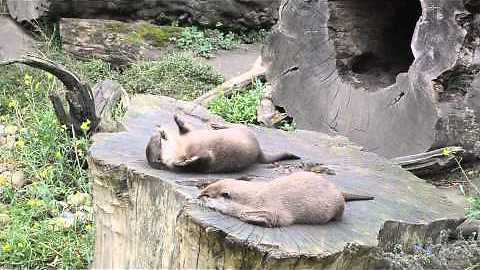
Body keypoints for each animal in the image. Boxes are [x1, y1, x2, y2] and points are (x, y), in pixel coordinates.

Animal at [144, 114, 300, 173]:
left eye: (158, 137)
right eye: (159, 141)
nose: (161, 131)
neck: (182, 146)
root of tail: (259, 151)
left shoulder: (189, 134)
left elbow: (185, 128)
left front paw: (177, 119)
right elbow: (203, 159)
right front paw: (185, 162)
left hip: (243, 130)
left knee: (236, 126)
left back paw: (217, 125)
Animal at [197, 172, 374, 227]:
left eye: (207, 195)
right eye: (204, 190)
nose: (198, 196)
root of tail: (338, 190)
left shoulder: (276, 210)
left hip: (338, 207)